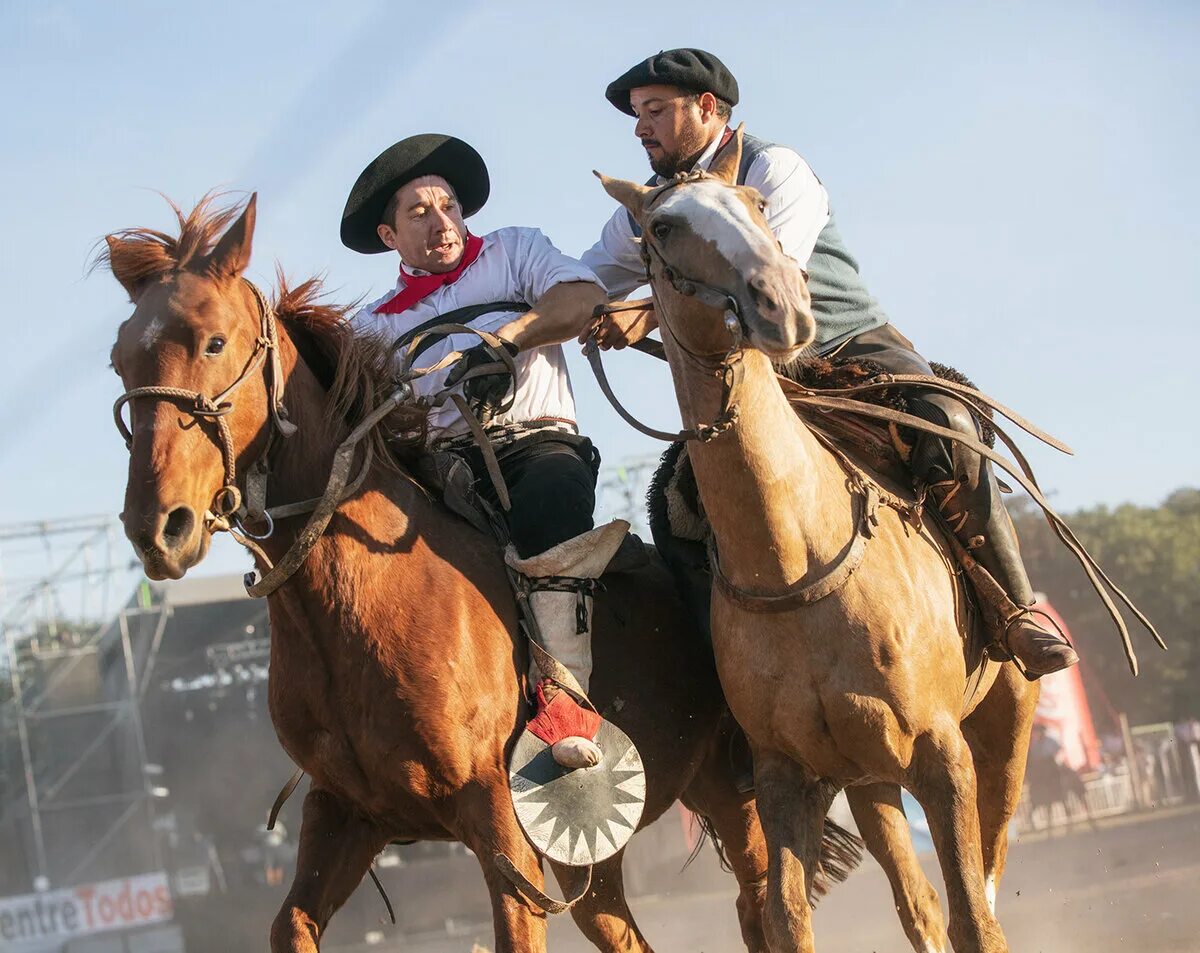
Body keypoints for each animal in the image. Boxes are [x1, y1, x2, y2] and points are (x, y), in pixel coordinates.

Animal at [100, 193, 864, 950]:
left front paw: (484, 358)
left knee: (760, 901)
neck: (358, 606)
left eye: (214, 341)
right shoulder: (344, 811)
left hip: (730, 784)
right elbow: (290, 922)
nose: (158, 526)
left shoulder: (498, 822)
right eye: (119, 360)